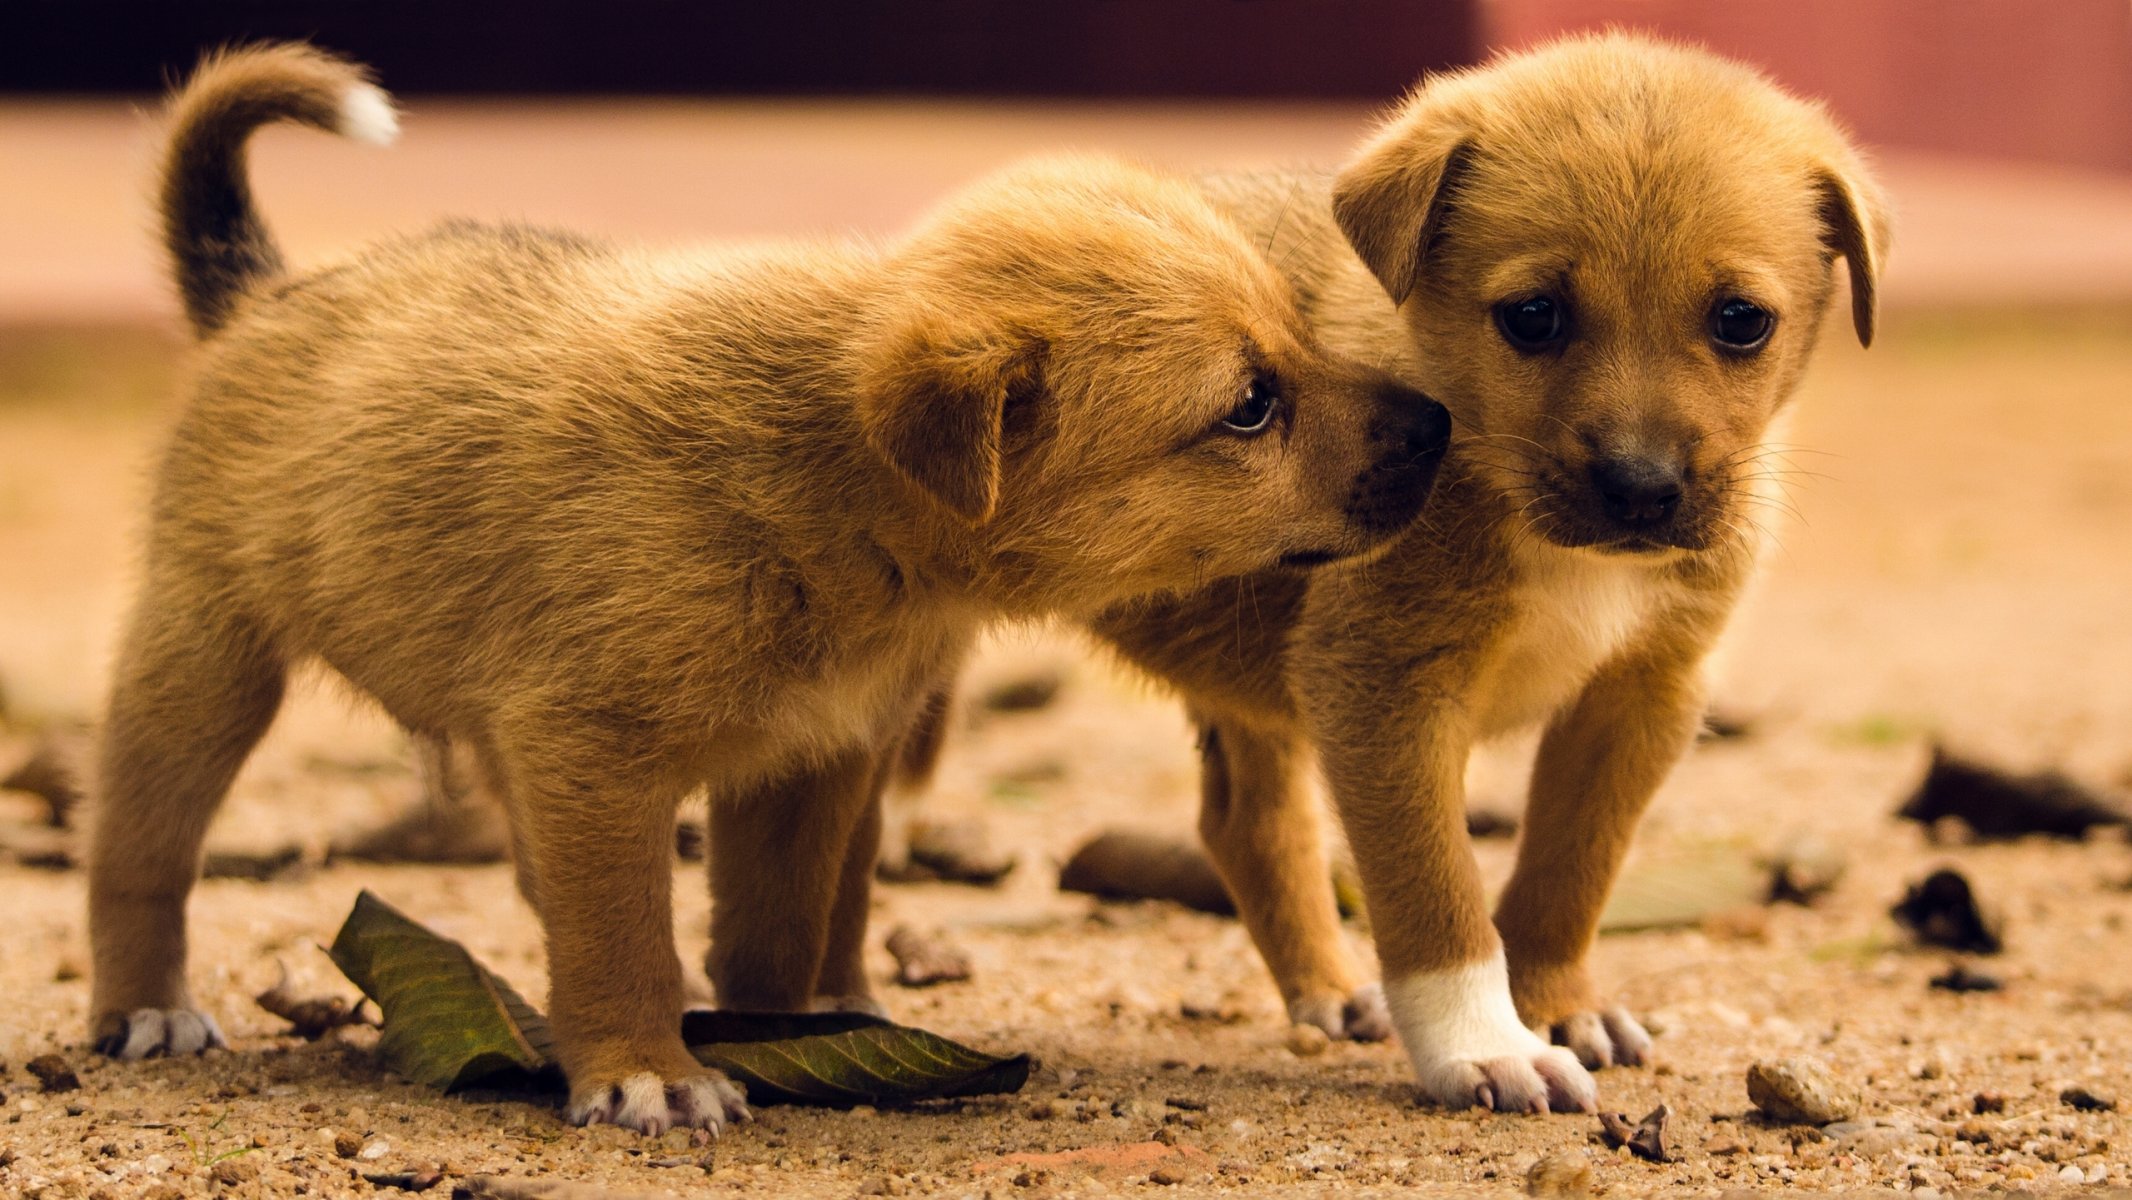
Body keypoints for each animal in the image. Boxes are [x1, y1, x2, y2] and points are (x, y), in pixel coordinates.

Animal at [83, 44, 1449, 1133]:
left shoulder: (805, 761)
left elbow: (771, 933)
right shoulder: (594, 754)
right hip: (202, 658)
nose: (1440, 425)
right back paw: (145, 1006)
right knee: (141, 848)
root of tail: (261, 294)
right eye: (1249, 406)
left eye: (1297, 333)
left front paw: (778, 1035)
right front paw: (645, 1068)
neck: (829, 482)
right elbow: (623, 929)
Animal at [874, 30, 1893, 1116]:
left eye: (1740, 320)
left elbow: (1569, 868)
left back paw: (1326, 990)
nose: (1639, 487)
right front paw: (1482, 1044)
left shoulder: (1640, 693)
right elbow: (1435, 889)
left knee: (1245, 823)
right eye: (1532, 317)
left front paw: (1553, 1004)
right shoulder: (1382, 686)